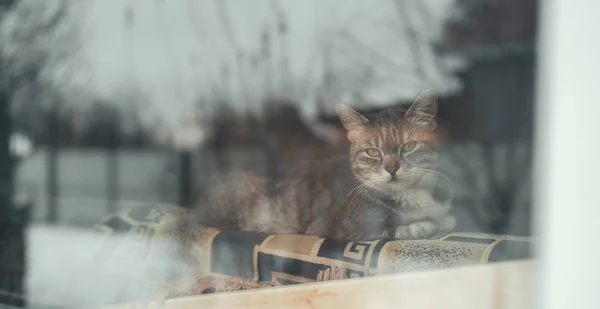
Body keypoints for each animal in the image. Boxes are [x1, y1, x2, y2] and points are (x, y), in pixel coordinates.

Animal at [195, 89, 458, 241]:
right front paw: (429, 224)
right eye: (373, 151)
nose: (392, 168)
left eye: (408, 146)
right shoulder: (350, 230)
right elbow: (410, 228)